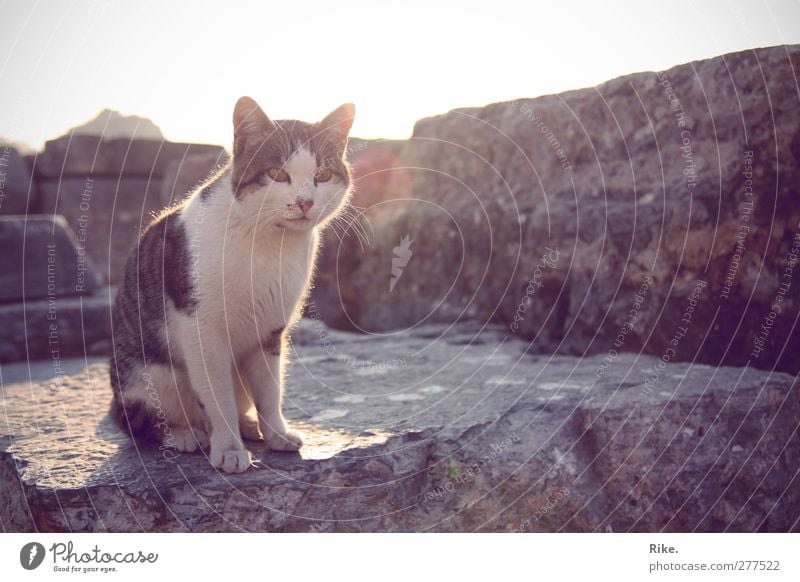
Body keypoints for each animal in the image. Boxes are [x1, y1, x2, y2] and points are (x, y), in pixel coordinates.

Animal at [108, 97, 354, 474]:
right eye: (278, 174)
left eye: (322, 175)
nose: (304, 202)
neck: (267, 244)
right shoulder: (201, 328)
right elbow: (216, 396)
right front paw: (228, 448)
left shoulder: (271, 327)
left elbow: (269, 389)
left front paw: (275, 433)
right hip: (149, 375)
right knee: (142, 420)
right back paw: (186, 434)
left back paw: (248, 425)